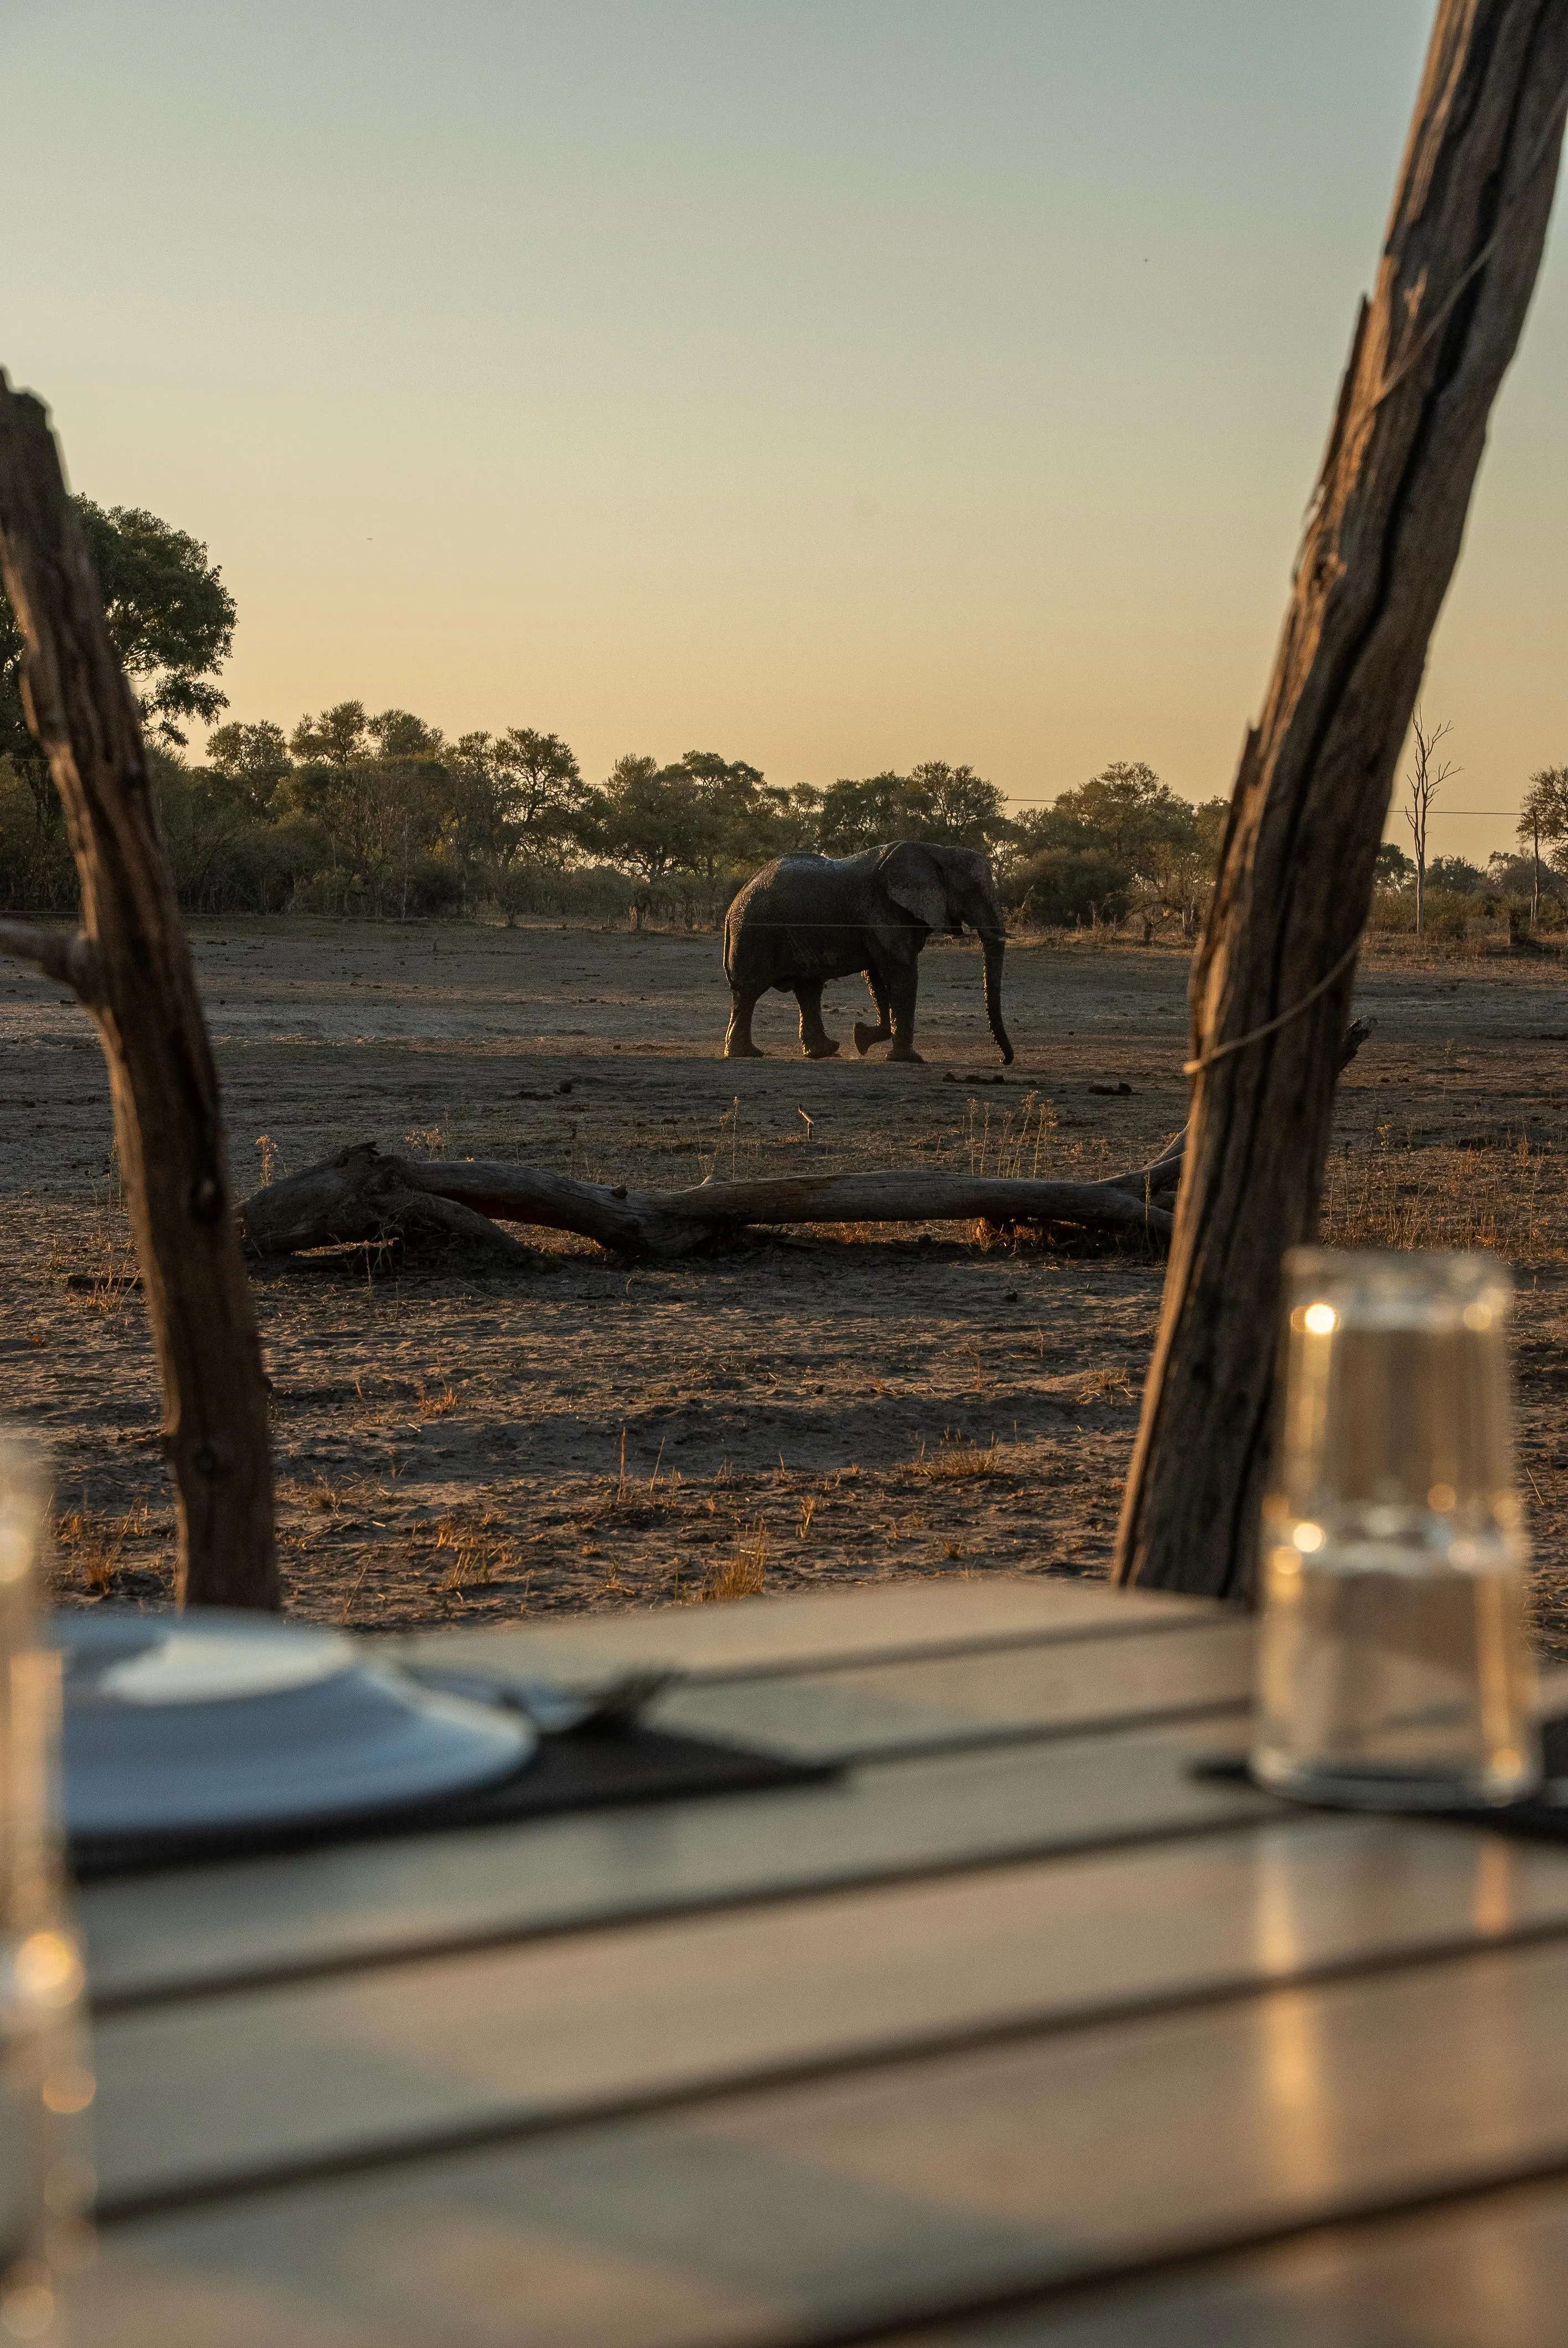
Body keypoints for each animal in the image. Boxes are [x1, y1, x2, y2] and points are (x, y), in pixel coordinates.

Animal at [722, 841, 1014, 1064]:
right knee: (749, 991)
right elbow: (901, 972)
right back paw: (747, 1054)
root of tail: (733, 905)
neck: (937, 852)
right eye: (972, 891)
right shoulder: (883, 913)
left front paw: (861, 1037)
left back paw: (824, 1051)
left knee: (809, 989)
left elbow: (876, 974)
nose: (1003, 1060)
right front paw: (908, 1059)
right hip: (754, 933)